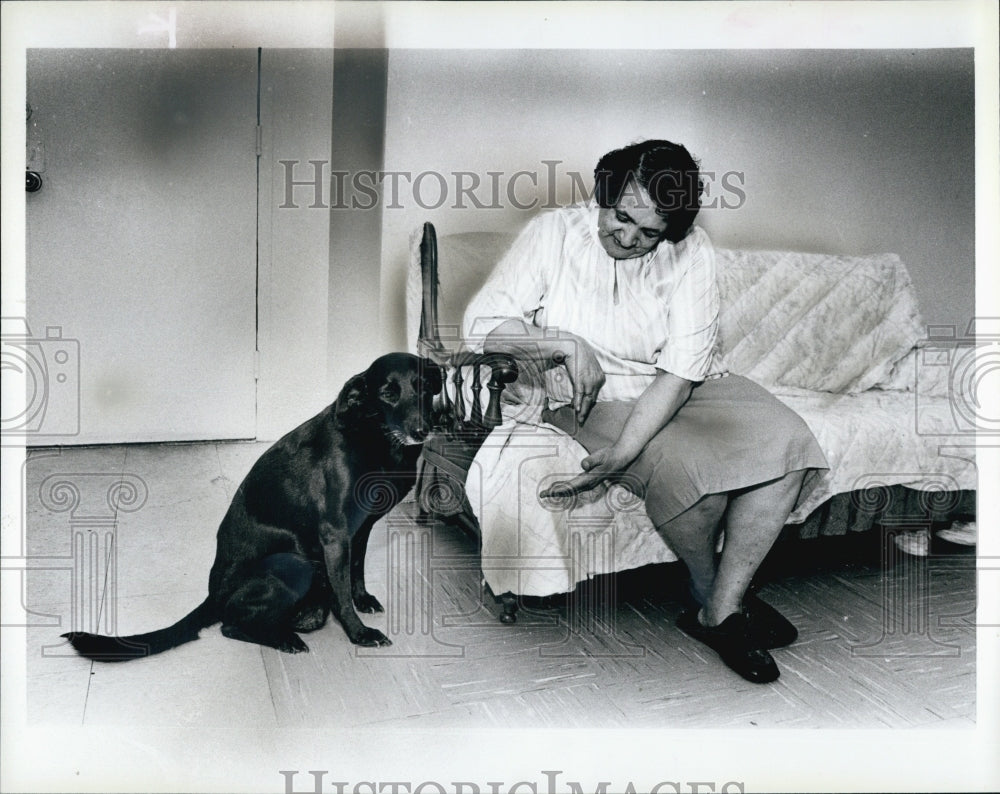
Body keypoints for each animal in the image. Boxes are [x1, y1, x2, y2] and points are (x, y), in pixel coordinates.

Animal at [60, 352, 440, 656]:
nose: (423, 430)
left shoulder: (361, 528)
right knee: (231, 626)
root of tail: (213, 596)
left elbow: (355, 570)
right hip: (294, 564)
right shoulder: (335, 533)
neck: (374, 438)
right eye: (388, 392)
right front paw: (359, 633)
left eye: (424, 387)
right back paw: (283, 639)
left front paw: (364, 600)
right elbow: (342, 590)